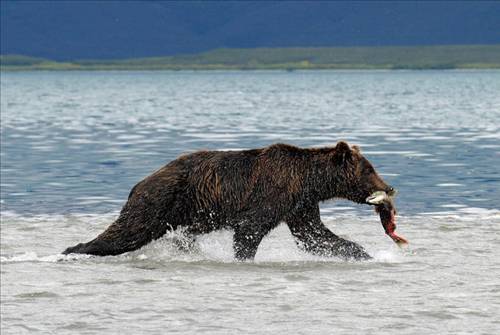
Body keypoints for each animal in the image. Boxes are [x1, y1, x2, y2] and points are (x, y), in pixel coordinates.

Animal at [62, 141, 396, 260]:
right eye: (369, 169)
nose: (389, 187)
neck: (307, 181)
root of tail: (139, 182)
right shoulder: (273, 193)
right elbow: (249, 230)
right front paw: (243, 257)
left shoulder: (300, 205)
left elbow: (315, 235)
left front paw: (364, 253)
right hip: (160, 200)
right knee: (127, 232)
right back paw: (73, 249)